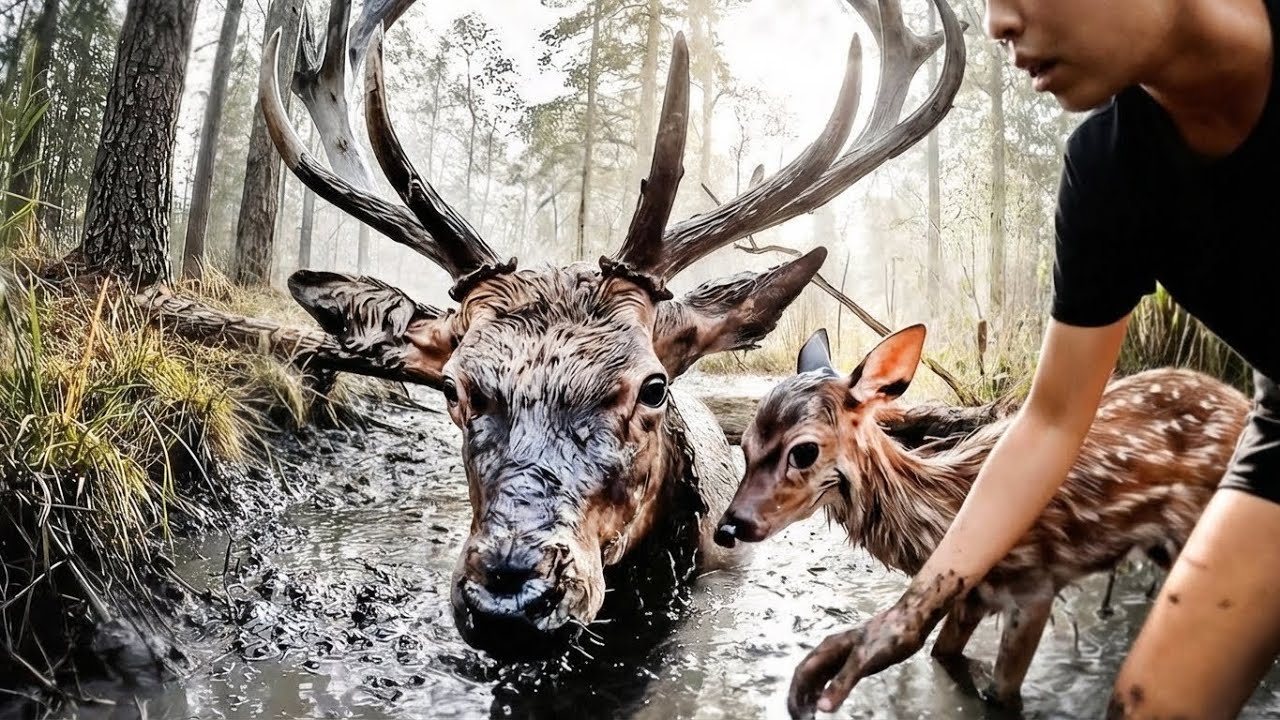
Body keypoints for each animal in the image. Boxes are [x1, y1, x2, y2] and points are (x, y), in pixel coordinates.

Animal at [713, 324, 1250, 708]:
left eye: (803, 451)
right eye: (744, 444)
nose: (728, 526)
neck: (948, 514)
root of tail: (1242, 401)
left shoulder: (1034, 587)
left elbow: (1002, 694)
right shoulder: (969, 595)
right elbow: (941, 656)